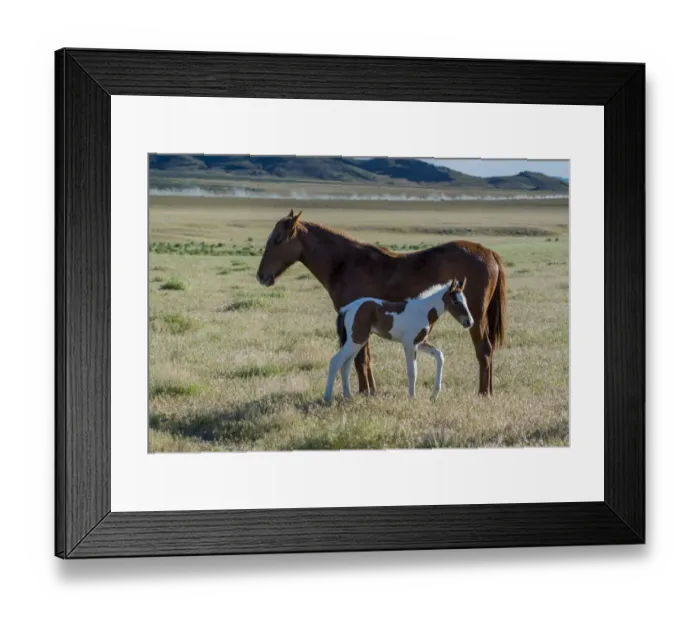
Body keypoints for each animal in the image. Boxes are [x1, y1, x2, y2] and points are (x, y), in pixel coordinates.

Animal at [326, 278, 473, 402]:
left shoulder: (419, 343)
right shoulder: (409, 344)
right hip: (356, 339)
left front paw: (434, 395)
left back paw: (348, 396)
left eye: (465, 301)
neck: (423, 311)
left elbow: (439, 356)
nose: (469, 322)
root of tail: (347, 308)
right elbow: (412, 371)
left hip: (357, 341)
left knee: (345, 365)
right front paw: (412, 397)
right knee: (335, 361)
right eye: (456, 302)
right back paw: (327, 398)